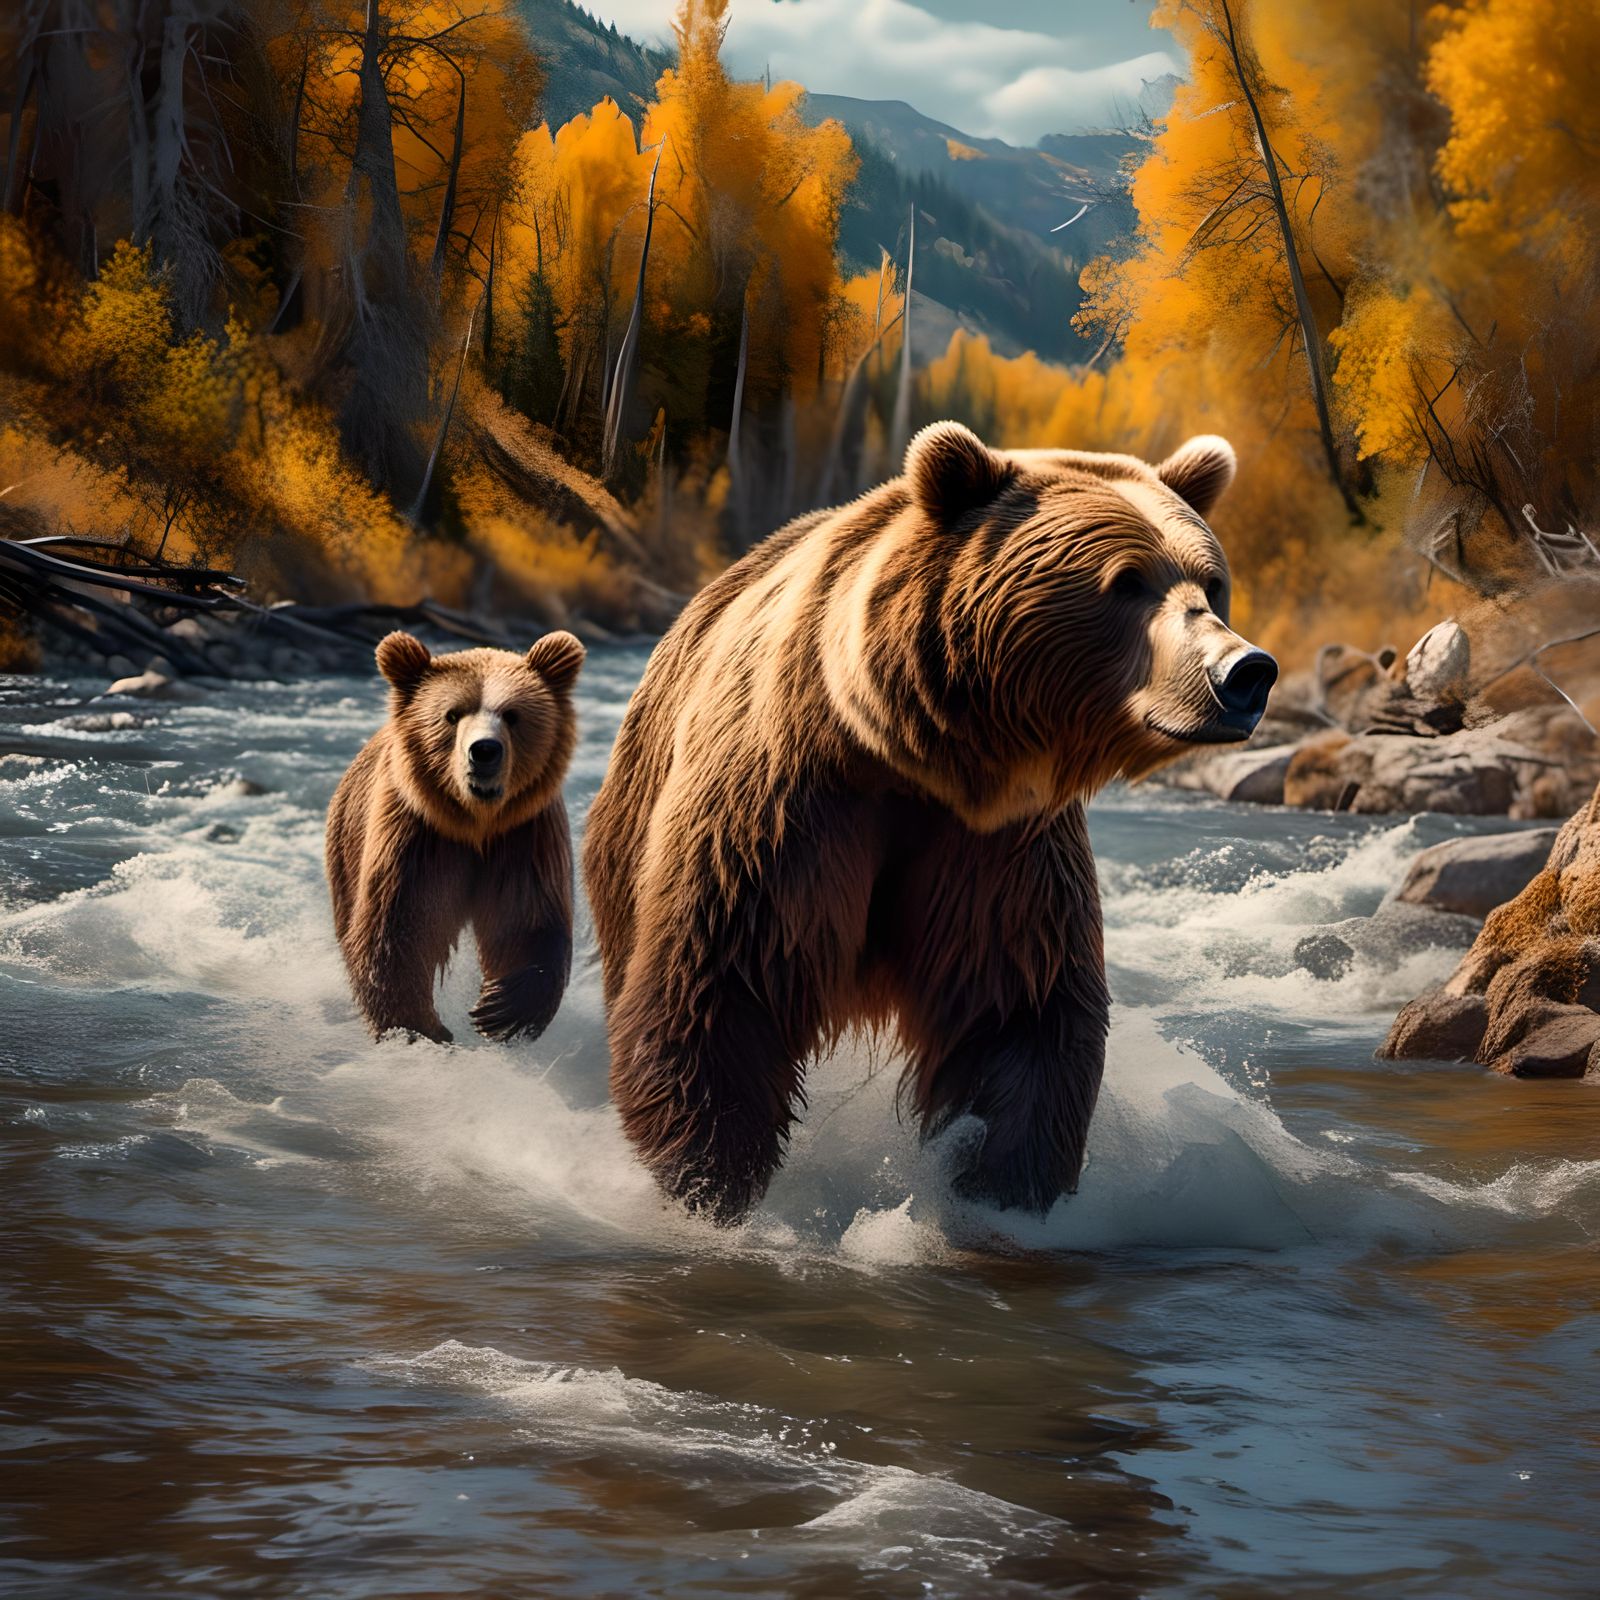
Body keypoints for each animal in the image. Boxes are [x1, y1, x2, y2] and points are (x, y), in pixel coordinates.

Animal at [326, 628, 586, 1044]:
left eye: (512, 715)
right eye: (451, 714)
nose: (484, 750)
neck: (475, 823)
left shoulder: (523, 837)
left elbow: (528, 919)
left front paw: (499, 1012)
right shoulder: (417, 839)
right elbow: (399, 929)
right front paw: (421, 1026)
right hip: (346, 847)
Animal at [582, 421, 1276, 1224]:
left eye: (1212, 582)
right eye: (1125, 580)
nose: (1245, 672)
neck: (911, 752)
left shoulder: (996, 843)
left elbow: (1013, 1006)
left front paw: (1002, 1183)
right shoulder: (788, 805)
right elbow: (724, 981)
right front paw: (709, 1181)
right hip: (633, 823)